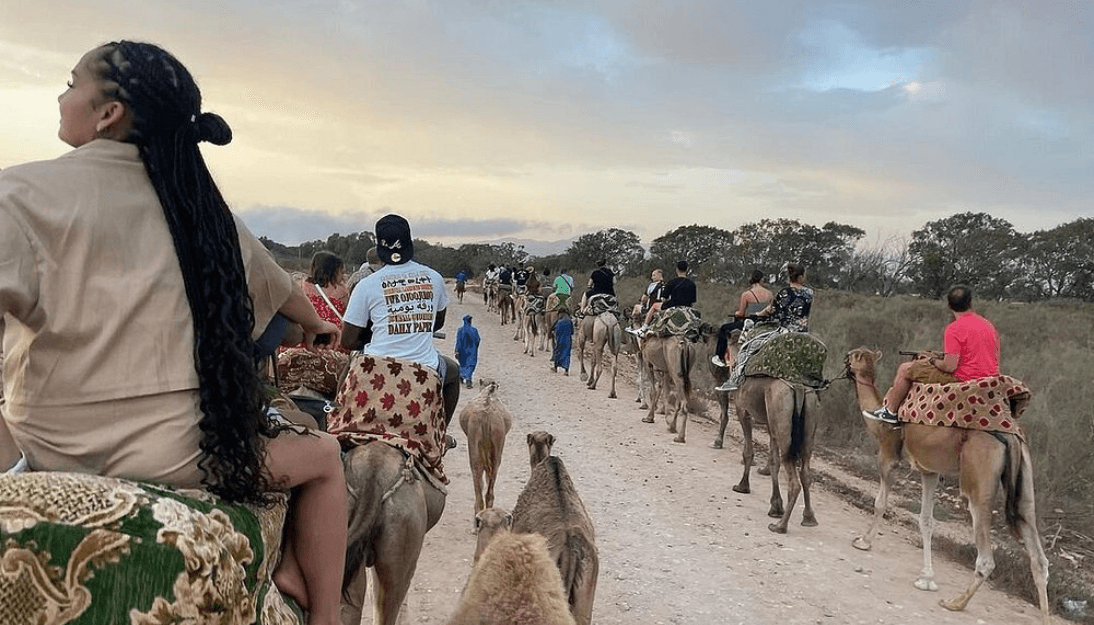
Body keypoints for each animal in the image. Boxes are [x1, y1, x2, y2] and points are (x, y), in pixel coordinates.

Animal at [844, 348, 1050, 623]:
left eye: (855, 355)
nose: (846, 358)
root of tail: (1011, 436)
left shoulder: (888, 452)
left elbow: (880, 503)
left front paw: (863, 541)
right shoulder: (929, 470)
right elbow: (926, 521)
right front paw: (927, 578)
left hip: (979, 475)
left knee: (986, 557)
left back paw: (955, 603)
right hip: (1025, 480)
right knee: (1037, 552)